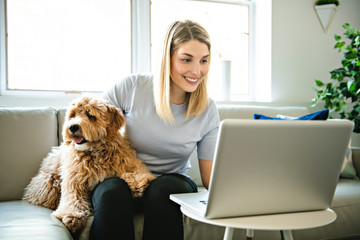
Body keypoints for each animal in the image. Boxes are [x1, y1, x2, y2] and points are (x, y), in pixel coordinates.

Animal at [22, 96, 155, 233]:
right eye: (73, 115)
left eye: (90, 115)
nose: (73, 127)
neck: (95, 151)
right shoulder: (73, 180)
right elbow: (72, 198)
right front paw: (72, 216)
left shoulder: (128, 162)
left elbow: (136, 171)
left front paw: (138, 184)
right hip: (50, 181)